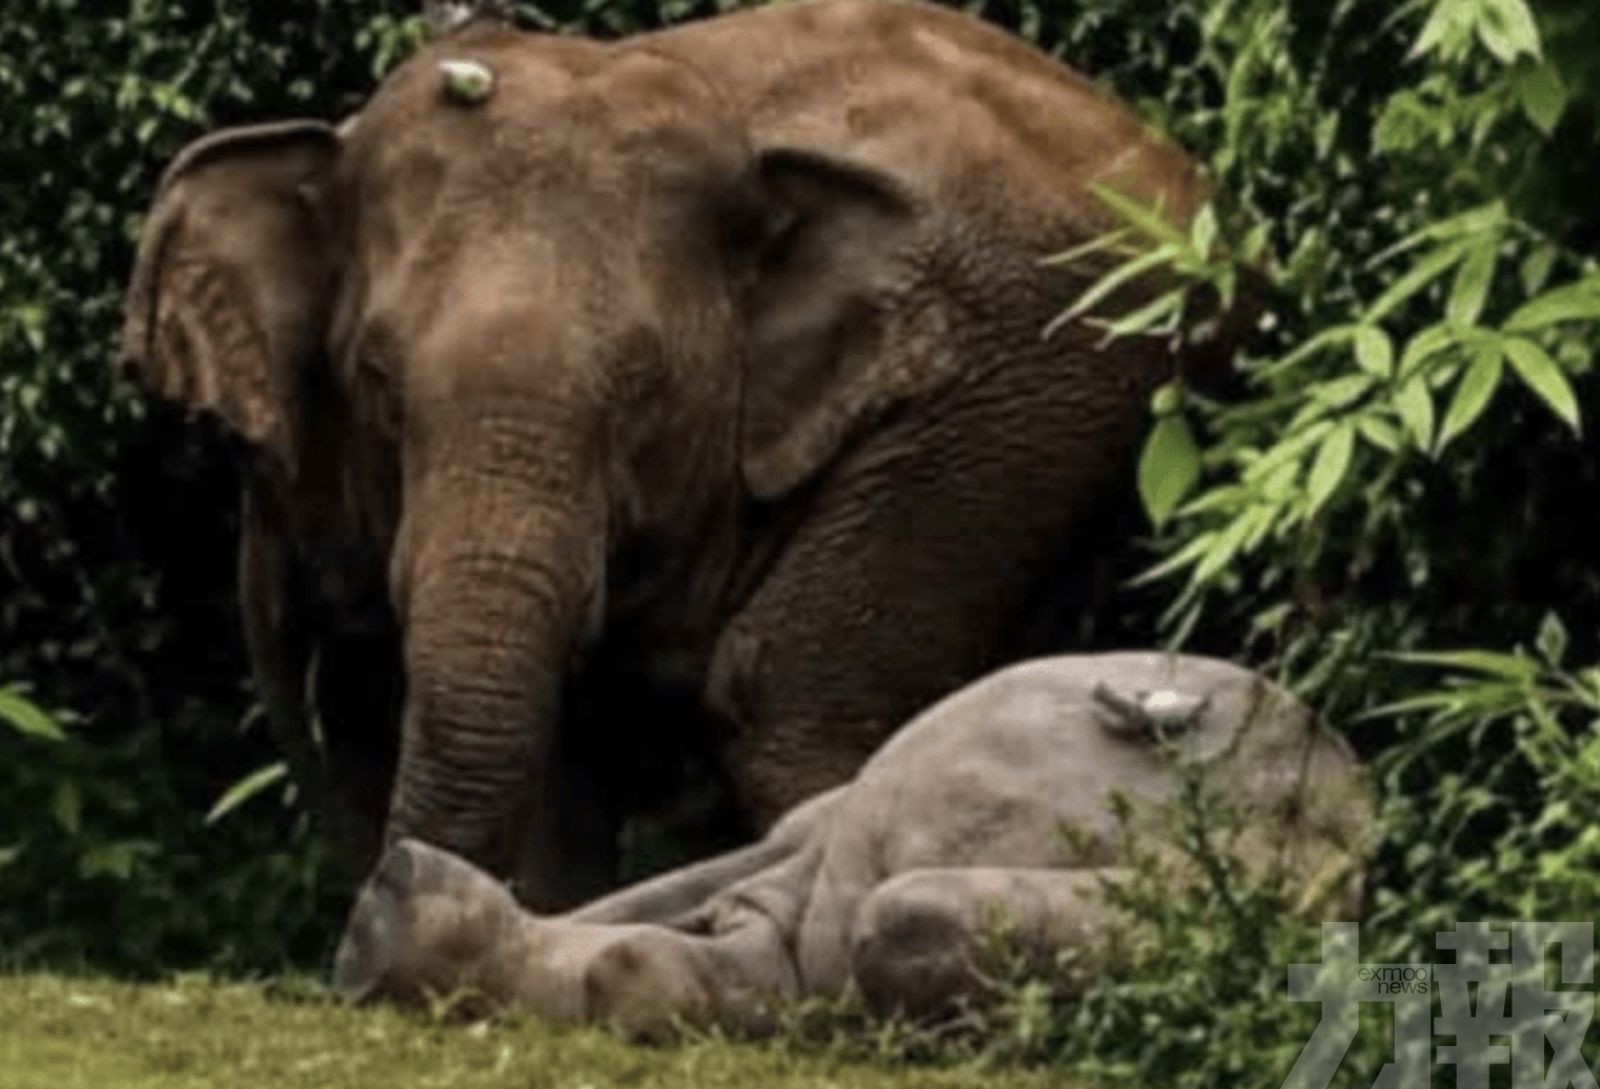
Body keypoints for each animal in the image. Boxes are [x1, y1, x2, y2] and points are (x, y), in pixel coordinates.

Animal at [331, 653, 1374, 1037]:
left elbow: (645, 967)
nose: (385, 878)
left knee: (900, 915)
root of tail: (1352, 816)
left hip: (1260, 881)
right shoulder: (789, 851)